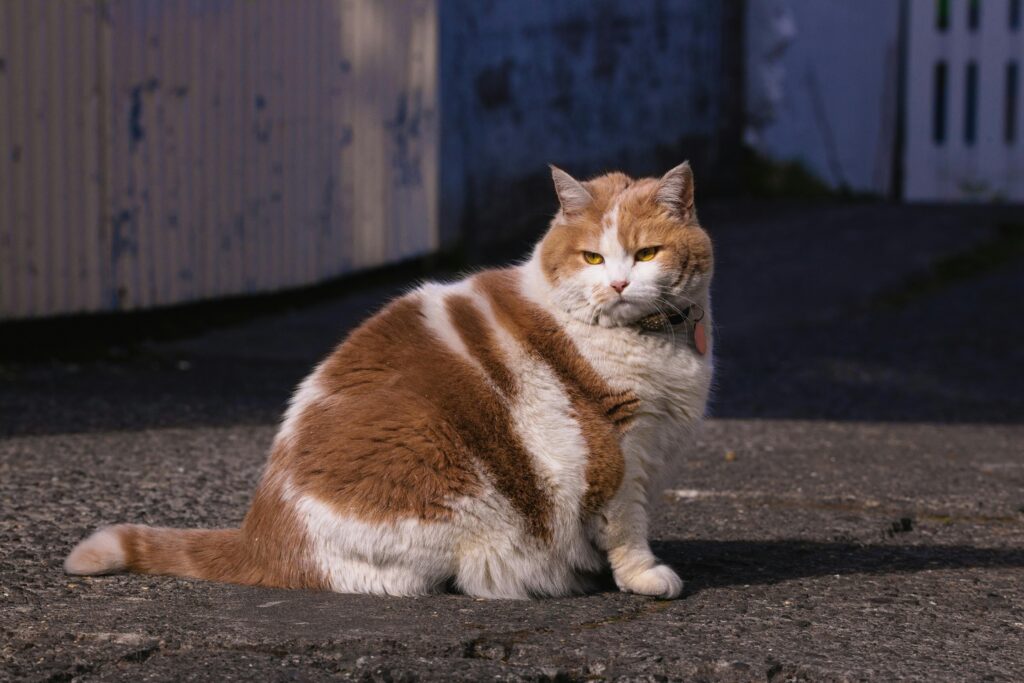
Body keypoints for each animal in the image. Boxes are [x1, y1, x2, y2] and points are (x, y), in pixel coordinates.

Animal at [66, 162, 712, 602]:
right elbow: (626, 524)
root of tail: (258, 532)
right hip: (444, 475)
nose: (619, 285)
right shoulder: (618, 446)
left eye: (646, 253)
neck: (655, 341)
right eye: (592, 259)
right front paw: (643, 575)